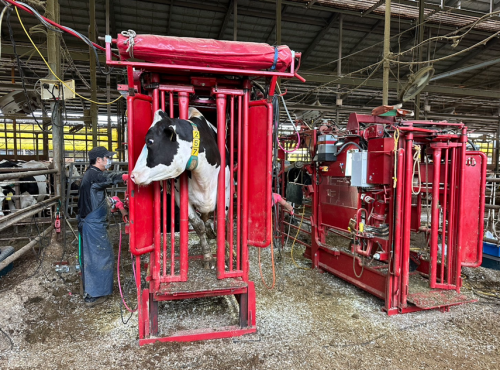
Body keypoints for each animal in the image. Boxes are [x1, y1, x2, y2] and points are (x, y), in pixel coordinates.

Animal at [129, 107, 230, 266]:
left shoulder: (225, 192)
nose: (133, 175)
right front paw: (207, 255)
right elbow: (198, 225)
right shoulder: (180, 197)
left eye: (150, 141)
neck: (204, 178)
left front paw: (226, 256)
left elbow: (222, 224)